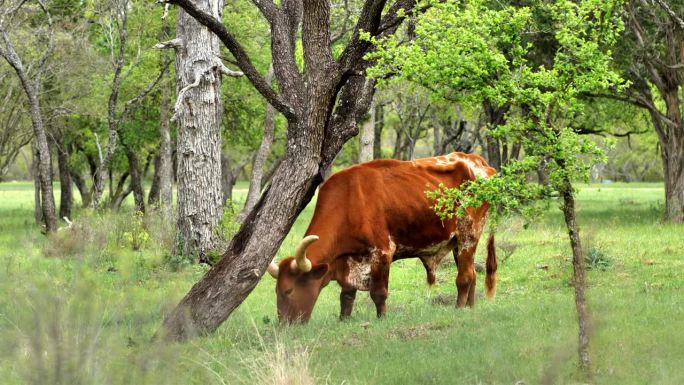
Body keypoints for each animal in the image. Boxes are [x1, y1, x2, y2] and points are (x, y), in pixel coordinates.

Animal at [268, 152, 496, 322]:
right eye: (276, 291)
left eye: (288, 290)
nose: (285, 325)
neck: (347, 203)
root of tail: (478, 162)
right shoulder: (348, 262)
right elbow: (346, 296)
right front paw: (344, 319)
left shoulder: (382, 252)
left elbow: (378, 293)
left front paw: (382, 319)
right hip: (458, 242)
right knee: (472, 274)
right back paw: (470, 308)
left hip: (468, 235)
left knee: (464, 277)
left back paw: (459, 309)